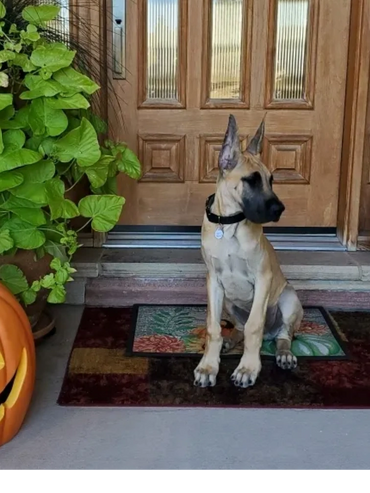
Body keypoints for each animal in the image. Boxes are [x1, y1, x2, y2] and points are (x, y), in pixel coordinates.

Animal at [194, 115, 304, 388]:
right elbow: (213, 328)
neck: (228, 225)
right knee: (239, 329)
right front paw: (208, 366)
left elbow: (255, 325)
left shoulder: (263, 278)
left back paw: (284, 354)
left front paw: (248, 368)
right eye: (251, 180)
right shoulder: (213, 281)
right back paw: (229, 341)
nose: (280, 209)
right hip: (229, 303)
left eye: (271, 180)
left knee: (284, 335)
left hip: (289, 298)